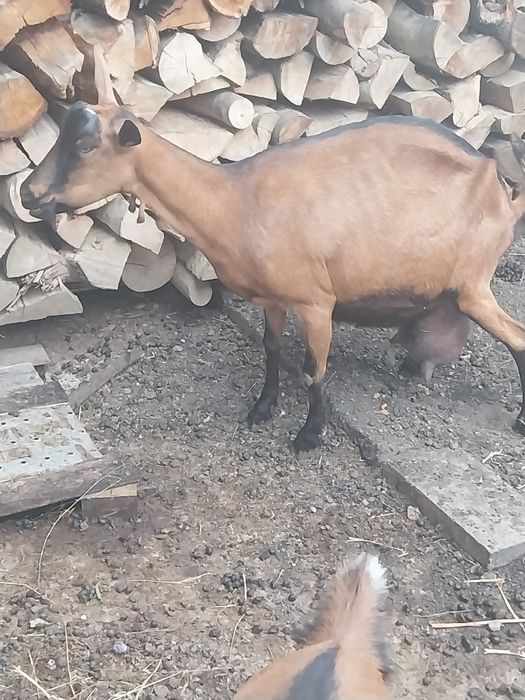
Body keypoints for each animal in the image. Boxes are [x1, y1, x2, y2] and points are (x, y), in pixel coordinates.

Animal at [20, 48, 525, 452]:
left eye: (86, 145)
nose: (27, 194)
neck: (234, 201)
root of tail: (502, 191)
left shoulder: (317, 302)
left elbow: (313, 370)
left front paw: (309, 435)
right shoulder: (272, 299)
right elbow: (270, 349)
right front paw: (261, 409)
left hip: (473, 284)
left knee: (516, 337)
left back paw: (518, 420)